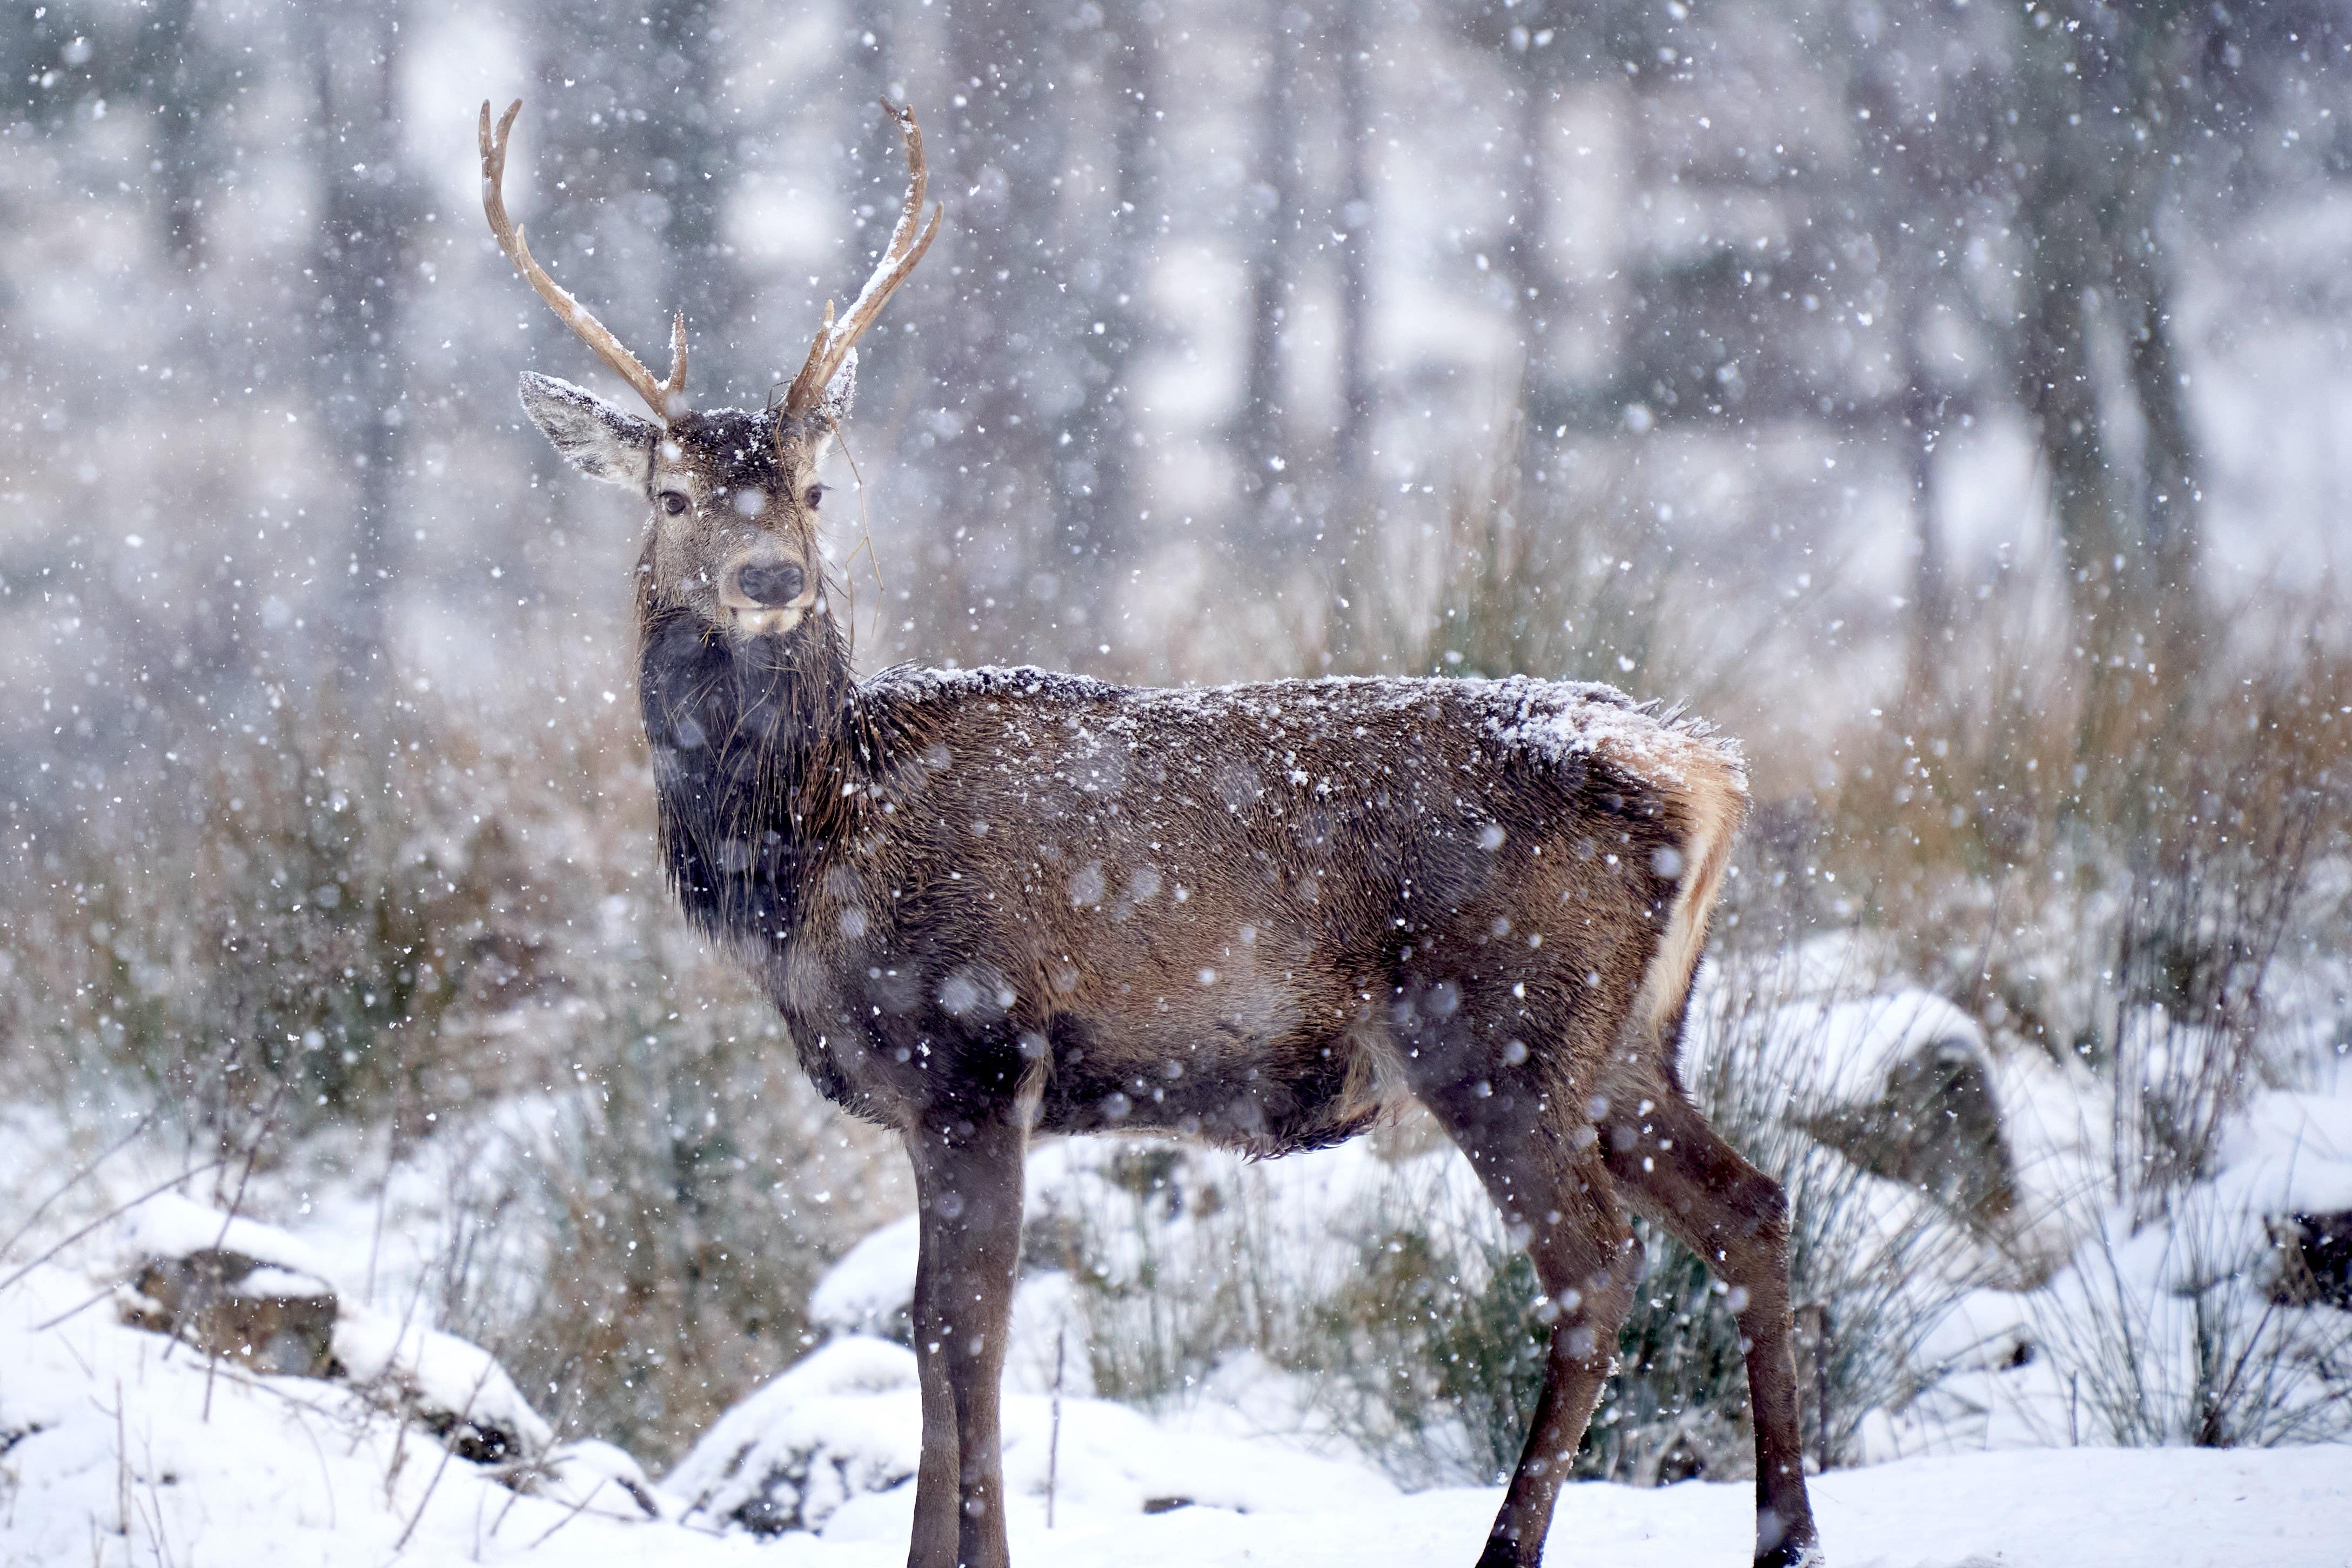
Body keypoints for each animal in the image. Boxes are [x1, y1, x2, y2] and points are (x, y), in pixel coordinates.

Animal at [480, 97, 1823, 1568]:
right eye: (669, 496)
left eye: (813, 489)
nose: (771, 576)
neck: (810, 854)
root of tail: (1704, 773)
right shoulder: (920, 1094)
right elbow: (924, 1330)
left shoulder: (975, 1051)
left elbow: (965, 1329)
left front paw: (983, 1554)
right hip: (1627, 1038)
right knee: (1751, 1207)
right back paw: (1784, 1531)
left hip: (1497, 1021)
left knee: (1593, 1263)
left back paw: (1509, 1546)